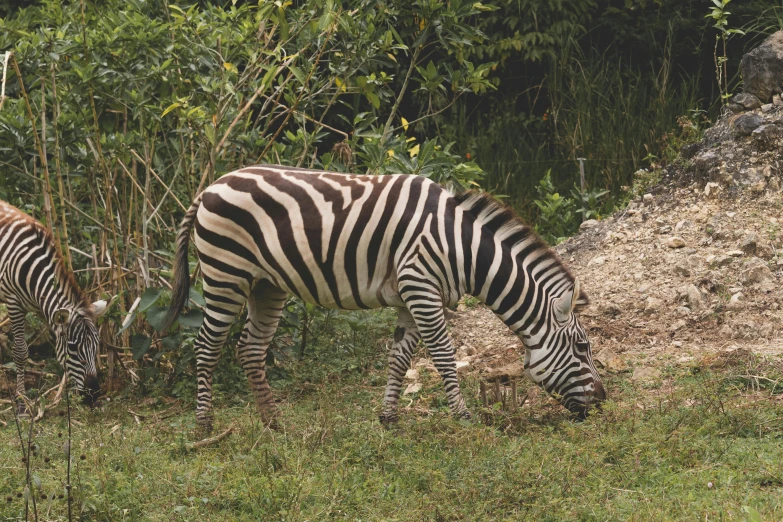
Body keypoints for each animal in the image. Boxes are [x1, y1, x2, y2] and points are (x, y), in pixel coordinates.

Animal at [0, 201, 108, 408]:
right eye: (73, 348)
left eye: (97, 345)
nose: (93, 395)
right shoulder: (13, 301)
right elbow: (20, 351)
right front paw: (22, 399)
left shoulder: (44, 308)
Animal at [165, 165, 608, 428]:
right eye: (582, 347)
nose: (604, 402)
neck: (462, 248)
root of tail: (210, 187)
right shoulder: (421, 287)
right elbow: (443, 356)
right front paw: (463, 416)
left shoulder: (411, 298)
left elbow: (399, 359)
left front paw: (388, 418)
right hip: (226, 275)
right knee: (206, 346)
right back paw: (204, 425)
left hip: (265, 285)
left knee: (250, 349)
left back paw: (274, 423)